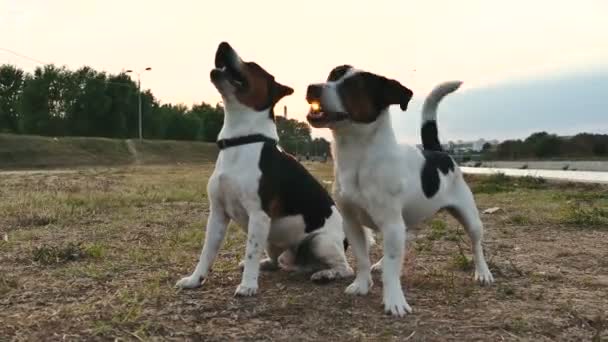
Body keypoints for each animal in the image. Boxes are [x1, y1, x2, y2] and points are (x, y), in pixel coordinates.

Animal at [176, 41, 354, 296]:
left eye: (253, 66)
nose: (223, 45)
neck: (241, 141)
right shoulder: (217, 214)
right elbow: (207, 253)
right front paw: (194, 279)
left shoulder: (258, 215)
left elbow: (250, 250)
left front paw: (248, 286)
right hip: (272, 239)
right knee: (275, 261)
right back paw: (267, 265)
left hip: (319, 242)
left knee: (345, 268)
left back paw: (325, 274)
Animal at [304, 65, 494, 316]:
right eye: (332, 75)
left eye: (354, 86)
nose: (312, 88)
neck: (359, 158)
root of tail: (438, 151)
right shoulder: (352, 223)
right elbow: (362, 259)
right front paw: (362, 284)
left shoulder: (391, 223)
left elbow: (393, 269)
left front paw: (394, 300)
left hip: (469, 218)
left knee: (476, 244)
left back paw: (483, 272)